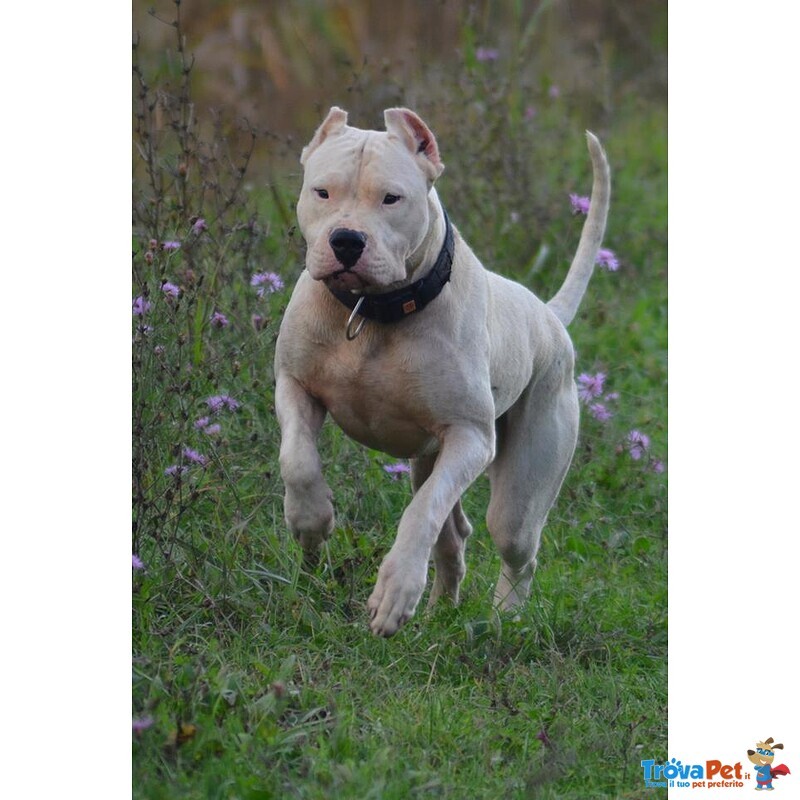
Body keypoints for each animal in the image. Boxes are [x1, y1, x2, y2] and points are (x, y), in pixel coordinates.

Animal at [272, 106, 608, 636]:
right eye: (321, 192)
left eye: (392, 198)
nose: (346, 240)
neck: (375, 312)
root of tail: (548, 316)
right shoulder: (294, 385)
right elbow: (298, 461)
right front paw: (311, 525)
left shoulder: (470, 437)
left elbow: (421, 512)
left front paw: (395, 590)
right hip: (428, 458)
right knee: (454, 535)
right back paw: (440, 611)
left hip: (519, 487)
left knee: (513, 546)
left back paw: (502, 621)